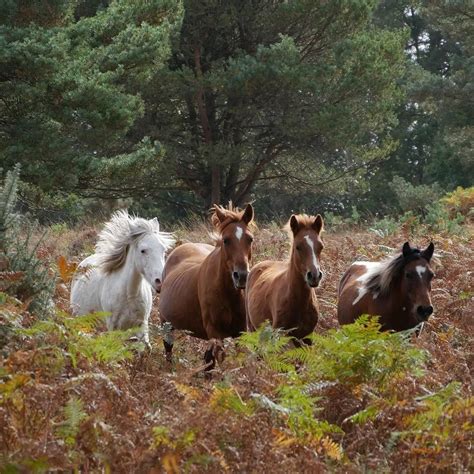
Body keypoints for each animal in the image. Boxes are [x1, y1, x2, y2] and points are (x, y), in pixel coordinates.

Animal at [69, 211, 175, 344]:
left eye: (163, 250)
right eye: (143, 250)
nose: (160, 281)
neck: (130, 294)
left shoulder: (142, 326)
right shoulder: (113, 328)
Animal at [158, 204, 256, 366]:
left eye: (250, 239)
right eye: (226, 240)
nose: (241, 276)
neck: (227, 292)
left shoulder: (241, 332)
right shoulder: (214, 332)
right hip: (166, 324)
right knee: (168, 349)